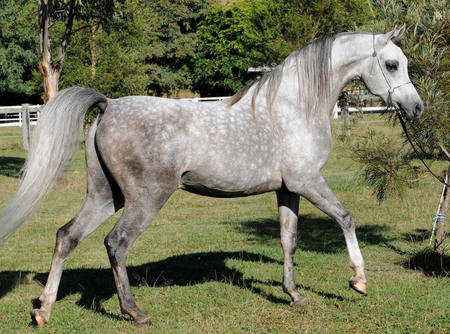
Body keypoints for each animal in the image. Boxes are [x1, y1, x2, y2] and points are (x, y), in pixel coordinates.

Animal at [0, 28, 422, 326]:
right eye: (391, 64)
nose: (415, 107)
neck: (292, 107)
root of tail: (108, 105)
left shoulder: (288, 191)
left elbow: (288, 241)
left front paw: (295, 296)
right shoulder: (308, 183)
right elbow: (346, 218)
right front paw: (358, 281)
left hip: (106, 196)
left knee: (66, 236)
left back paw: (44, 311)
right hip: (145, 199)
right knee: (116, 244)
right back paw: (134, 312)